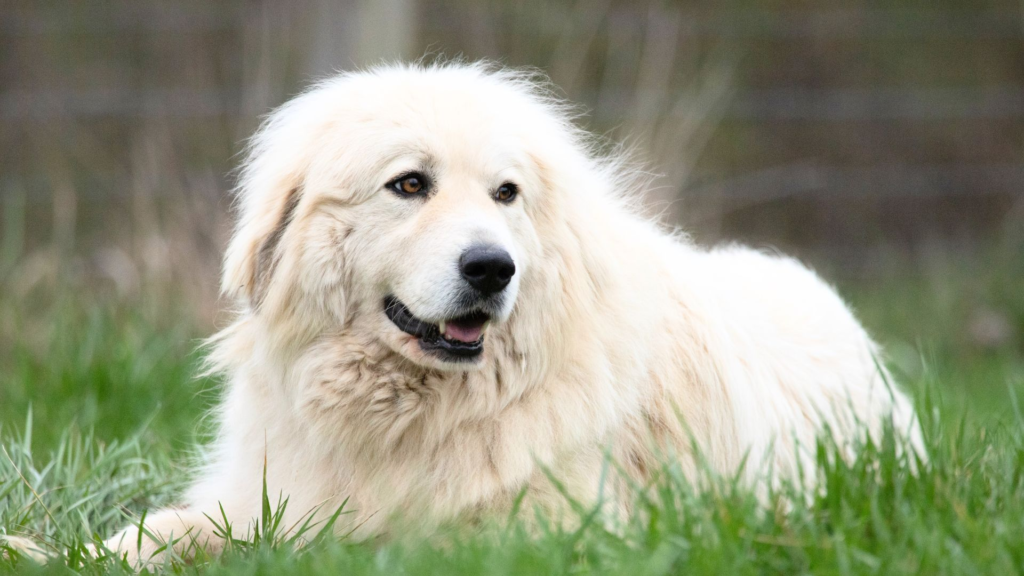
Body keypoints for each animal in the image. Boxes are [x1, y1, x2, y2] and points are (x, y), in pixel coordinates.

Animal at [9, 60, 921, 561]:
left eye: (505, 194)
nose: (492, 267)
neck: (410, 417)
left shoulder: (545, 527)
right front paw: (47, 551)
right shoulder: (264, 490)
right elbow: (156, 532)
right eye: (410, 184)